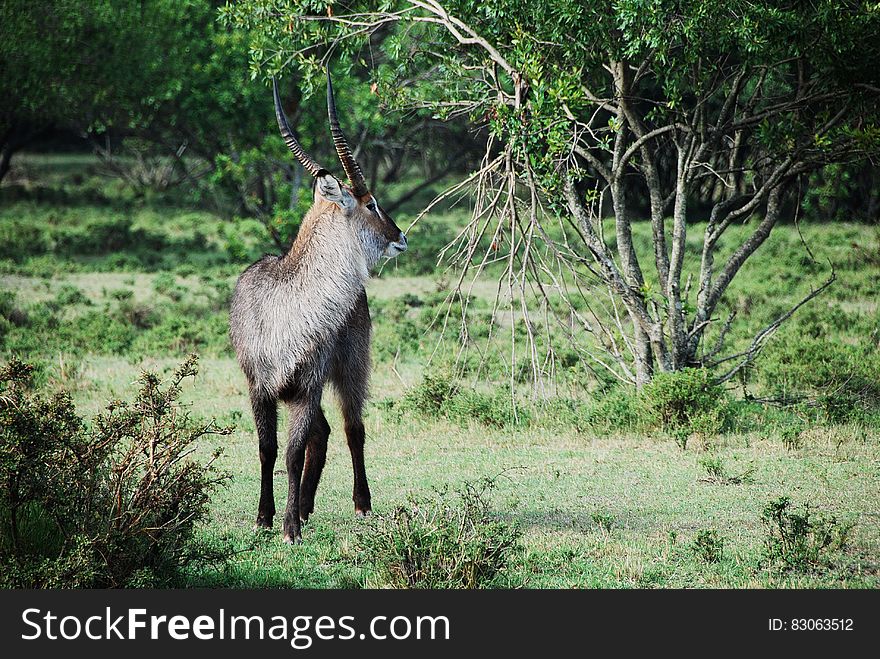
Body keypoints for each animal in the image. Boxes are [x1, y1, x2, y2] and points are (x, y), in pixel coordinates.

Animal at [225, 73, 408, 548]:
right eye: (371, 202)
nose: (401, 237)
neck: (288, 306)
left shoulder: (307, 388)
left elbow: (292, 453)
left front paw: (288, 528)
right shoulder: (260, 388)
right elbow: (268, 450)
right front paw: (266, 517)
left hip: (350, 367)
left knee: (351, 429)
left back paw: (360, 504)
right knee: (323, 435)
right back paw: (306, 507)